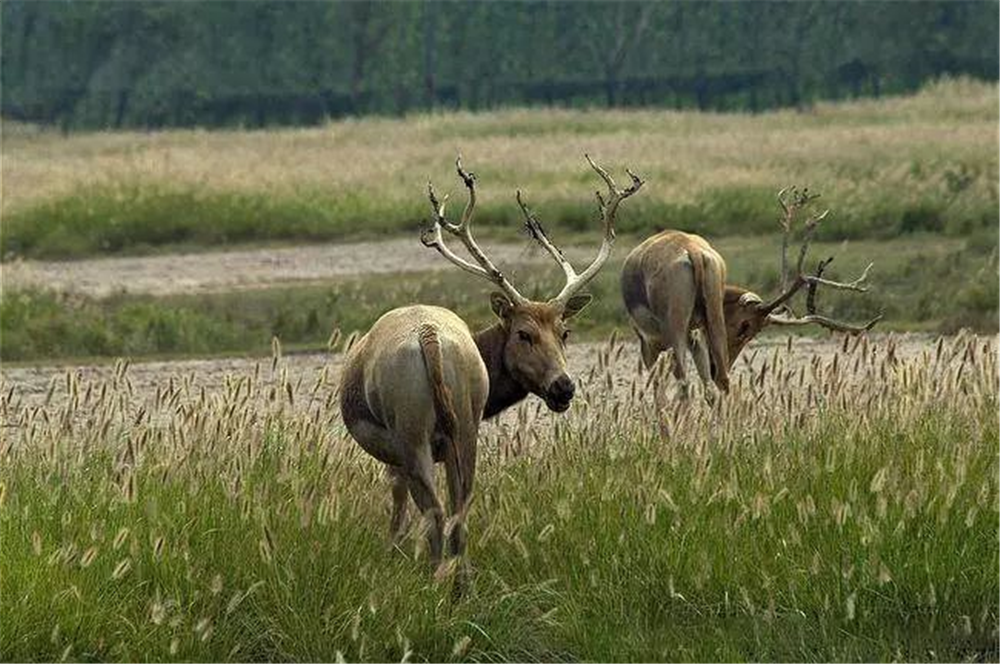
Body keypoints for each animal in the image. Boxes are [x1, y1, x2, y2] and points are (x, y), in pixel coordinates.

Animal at [340, 156, 644, 576]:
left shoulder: (395, 458)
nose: (564, 386)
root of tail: (429, 336)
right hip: (464, 425)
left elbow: (398, 515)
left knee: (436, 513)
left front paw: (392, 556)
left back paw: (435, 582)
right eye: (524, 334)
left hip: (411, 430)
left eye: (564, 331)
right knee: (458, 512)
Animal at [620, 187, 880, 404]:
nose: (713, 366)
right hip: (709, 326)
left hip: (676, 330)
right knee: (720, 383)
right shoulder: (694, 336)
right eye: (746, 326)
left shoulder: (649, 343)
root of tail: (693, 251)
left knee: (684, 384)